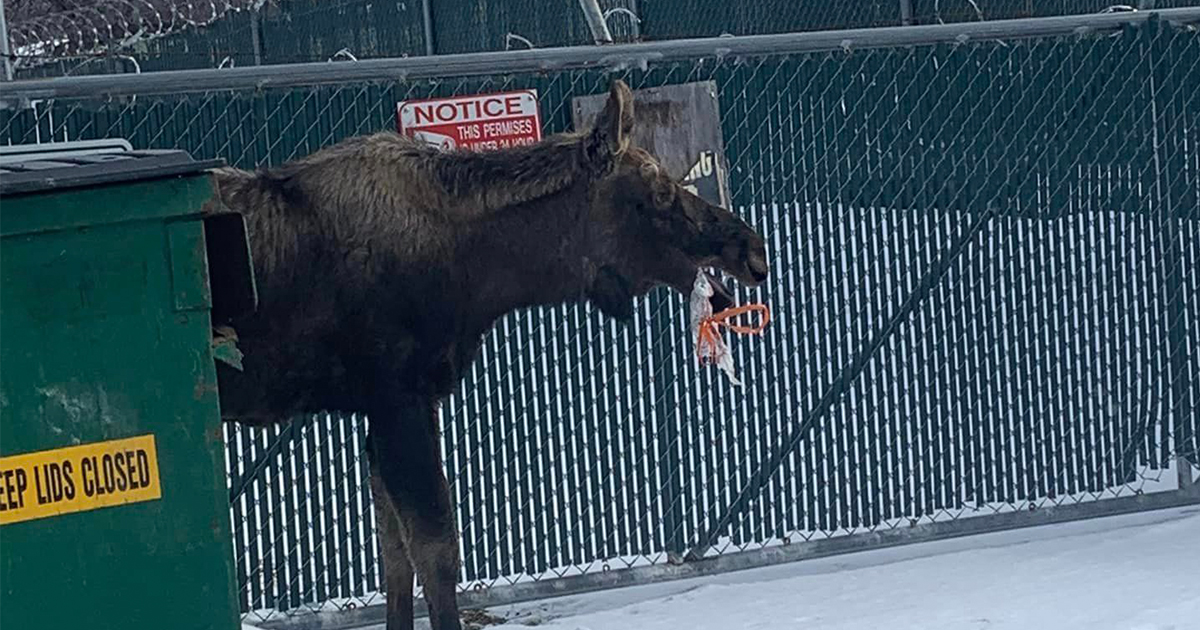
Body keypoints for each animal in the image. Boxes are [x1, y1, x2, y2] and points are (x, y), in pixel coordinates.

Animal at [206, 79, 768, 628]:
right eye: (658, 192)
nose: (753, 249)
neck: (483, 274)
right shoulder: (398, 399)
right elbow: (436, 551)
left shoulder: (390, 408)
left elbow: (395, 556)